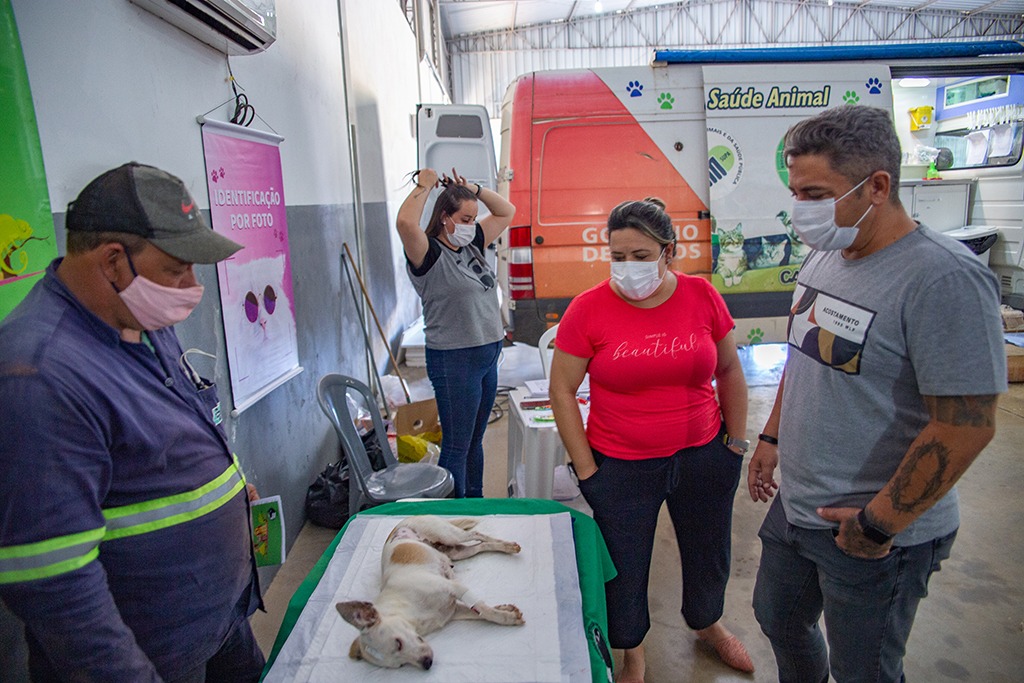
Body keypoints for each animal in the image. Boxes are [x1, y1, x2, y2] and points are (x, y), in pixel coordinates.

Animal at [337, 516, 528, 671]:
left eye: (398, 643)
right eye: (400, 665)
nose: (427, 664)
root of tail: (403, 520)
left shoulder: (454, 588)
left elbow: (484, 609)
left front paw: (506, 617)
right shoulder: (454, 611)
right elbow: (480, 612)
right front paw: (507, 611)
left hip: (449, 535)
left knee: (477, 534)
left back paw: (508, 546)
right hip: (457, 551)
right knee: (480, 546)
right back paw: (503, 547)